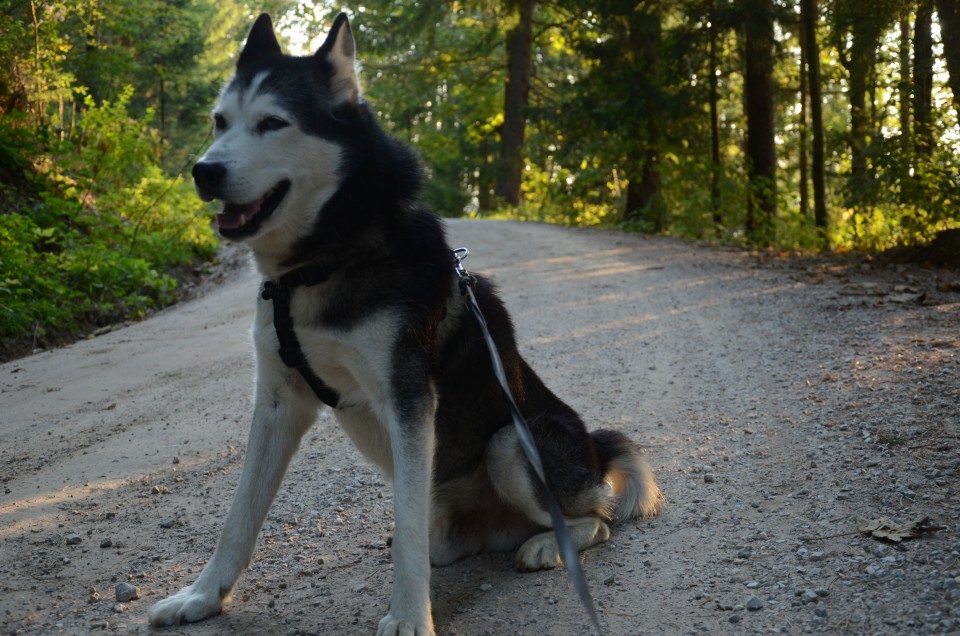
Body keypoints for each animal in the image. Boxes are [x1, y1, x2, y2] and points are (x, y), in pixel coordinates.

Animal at [150, 12, 660, 632]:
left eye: (273, 123)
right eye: (220, 121)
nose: (204, 171)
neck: (324, 262)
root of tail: (592, 451)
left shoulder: (410, 400)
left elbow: (407, 533)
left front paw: (411, 616)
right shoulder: (278, 402)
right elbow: (238, 517)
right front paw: (203, 596)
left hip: (511, 445)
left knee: (595, 519)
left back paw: (548, 545)